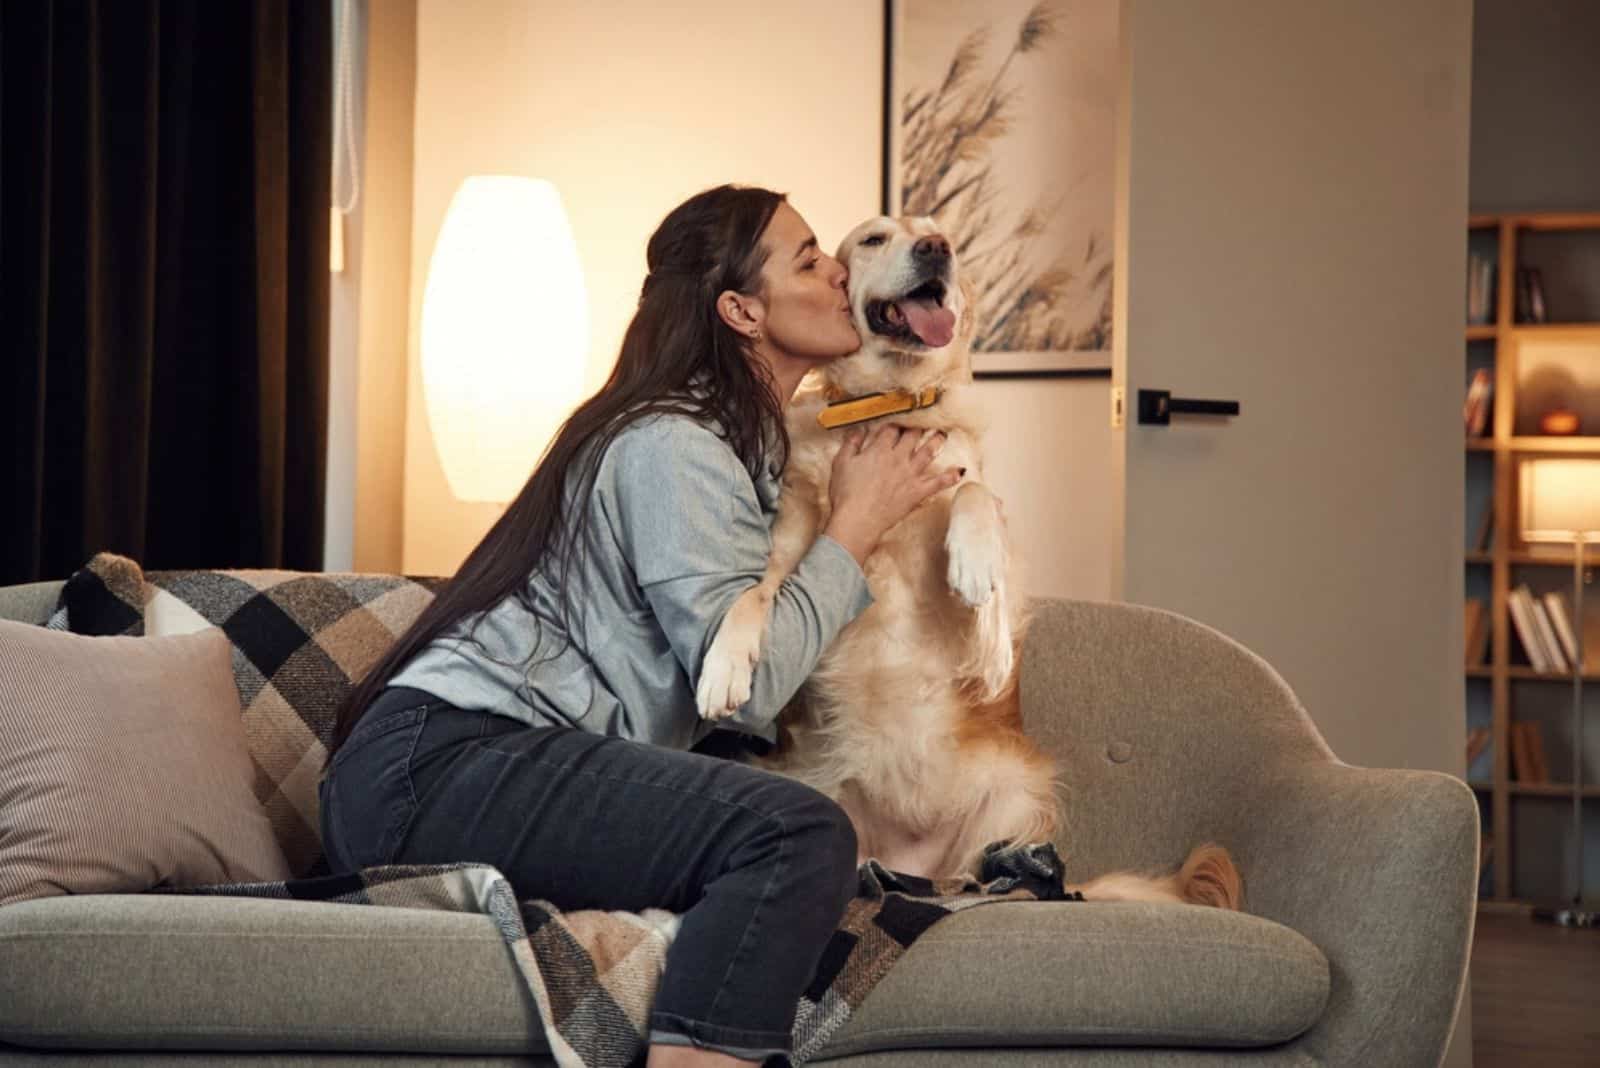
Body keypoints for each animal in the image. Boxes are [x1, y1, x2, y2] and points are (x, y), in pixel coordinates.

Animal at [697, 214, 1235, 908]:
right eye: (874, 238)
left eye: (940, 235)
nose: (936, 250)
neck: (888, 404)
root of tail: (908, 857)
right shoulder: (789, 544)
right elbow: (752, 594)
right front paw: (723, 670)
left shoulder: (973, 512)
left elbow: (974, 497)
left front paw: (976, 569)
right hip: (811, 780)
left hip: (1013, 790)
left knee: (991, 872)